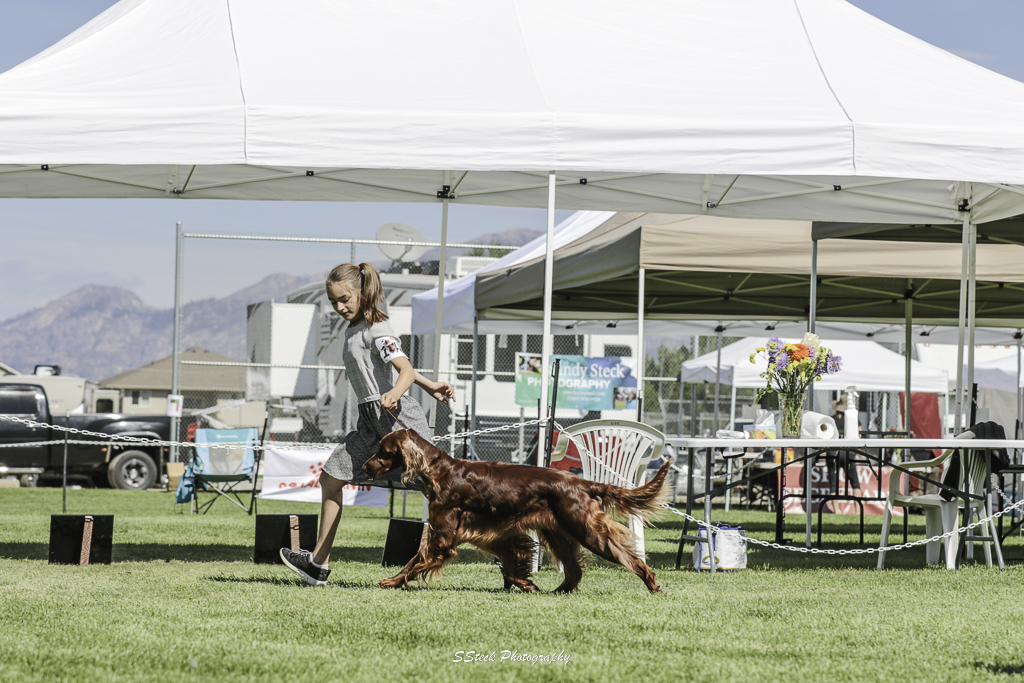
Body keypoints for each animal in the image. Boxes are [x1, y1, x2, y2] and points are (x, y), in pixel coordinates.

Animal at [364, 429, 671, 593]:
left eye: (383, 450)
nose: (366, 467)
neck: (441, 472)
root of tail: (579, 481)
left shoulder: (443, 537)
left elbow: (415, 561)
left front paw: (392, 581)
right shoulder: (496, 535)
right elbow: (511, 566)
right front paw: (527, 585)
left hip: (586, 529)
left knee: (626, 555)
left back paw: (652, 583)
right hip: (558, 533)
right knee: (573, 569)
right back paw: (558, 592)